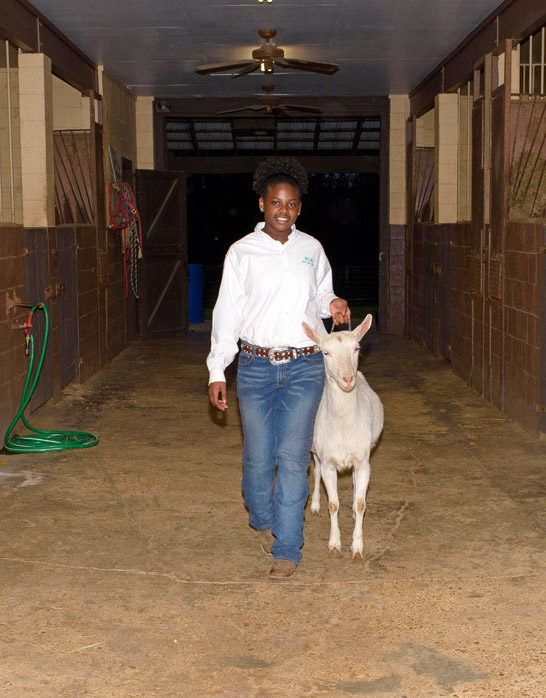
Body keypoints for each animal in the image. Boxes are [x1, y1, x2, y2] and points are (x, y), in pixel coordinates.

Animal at [302, 312, 382, 556]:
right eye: (325, 352)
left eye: (356, 348)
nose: (348, 379)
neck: (343, 425)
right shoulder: (328, 461)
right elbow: (333, 504)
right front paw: (335, 543)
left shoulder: (363, 460)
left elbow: (361, 502)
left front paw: (357, 545)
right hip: (315, 450)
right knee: (316, 472)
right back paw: (315, 504)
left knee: (356, 484)